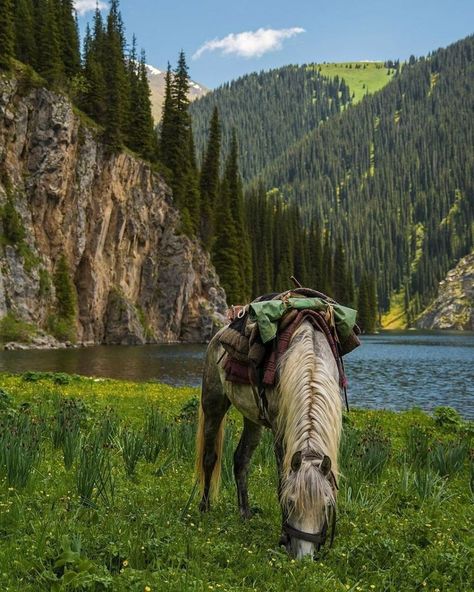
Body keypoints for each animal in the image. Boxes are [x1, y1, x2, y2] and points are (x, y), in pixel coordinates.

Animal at [194, 316, 342, 556]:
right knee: (209, 457)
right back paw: (204, 507)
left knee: (241, 460)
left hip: (252, 420)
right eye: (291, 502)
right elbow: (281, 482)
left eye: (327, 505)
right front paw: (283, 537)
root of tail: (218, 335)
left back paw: (245, 514)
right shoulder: (280, 434)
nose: (304, 557)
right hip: (213, 404)